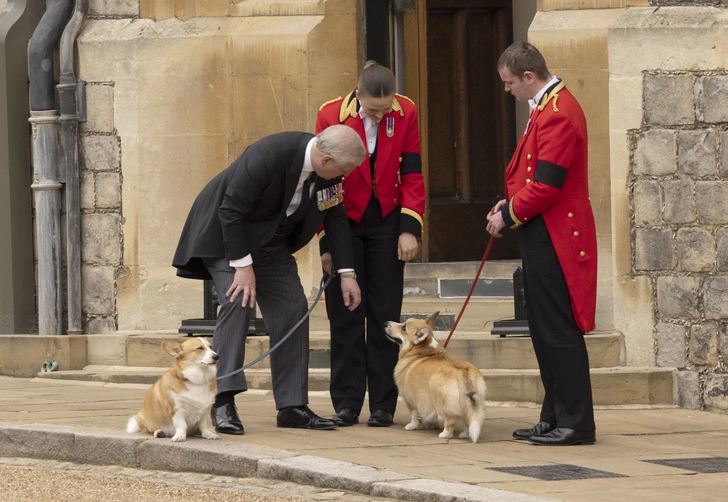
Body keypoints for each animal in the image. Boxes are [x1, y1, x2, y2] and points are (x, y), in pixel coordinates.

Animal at [384, 312, 486, 446]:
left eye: (404, 327)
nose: (385, 322)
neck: (421, 351)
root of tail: (463, 371)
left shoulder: (409, 399)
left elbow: (414, 414)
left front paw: (412, 426)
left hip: (441, 402)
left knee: (450, 420)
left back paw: (445, 434)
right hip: (469, 402)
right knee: (468, 419)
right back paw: (464, 434)